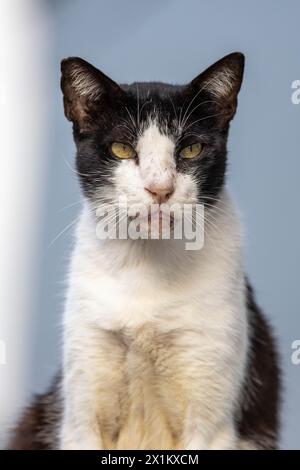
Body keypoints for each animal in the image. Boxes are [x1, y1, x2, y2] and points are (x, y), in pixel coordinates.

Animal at [9, 53, 282, 450]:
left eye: (191, 149)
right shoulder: (82, 412)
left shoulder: (210, 419)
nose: (160, 189)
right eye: (122, 149)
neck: (146, 266)